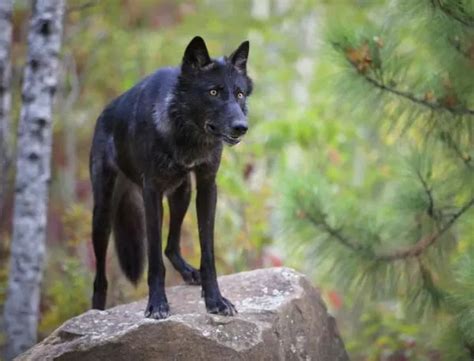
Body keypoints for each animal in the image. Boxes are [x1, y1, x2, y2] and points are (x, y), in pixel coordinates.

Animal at [89, 36, 252, 318]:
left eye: (239, 93)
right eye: (213, 92)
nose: (241, 127)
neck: (187, 135)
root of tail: (103, 115)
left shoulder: (207, 186)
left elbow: (207, 253)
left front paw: (215, 300)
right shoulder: (151, 192)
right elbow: (154, 260)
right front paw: (157, 304)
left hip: (181, 192)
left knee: (171, 246)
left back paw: (190, 273)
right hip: (103, 215)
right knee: (100, 279)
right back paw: (96, 313)